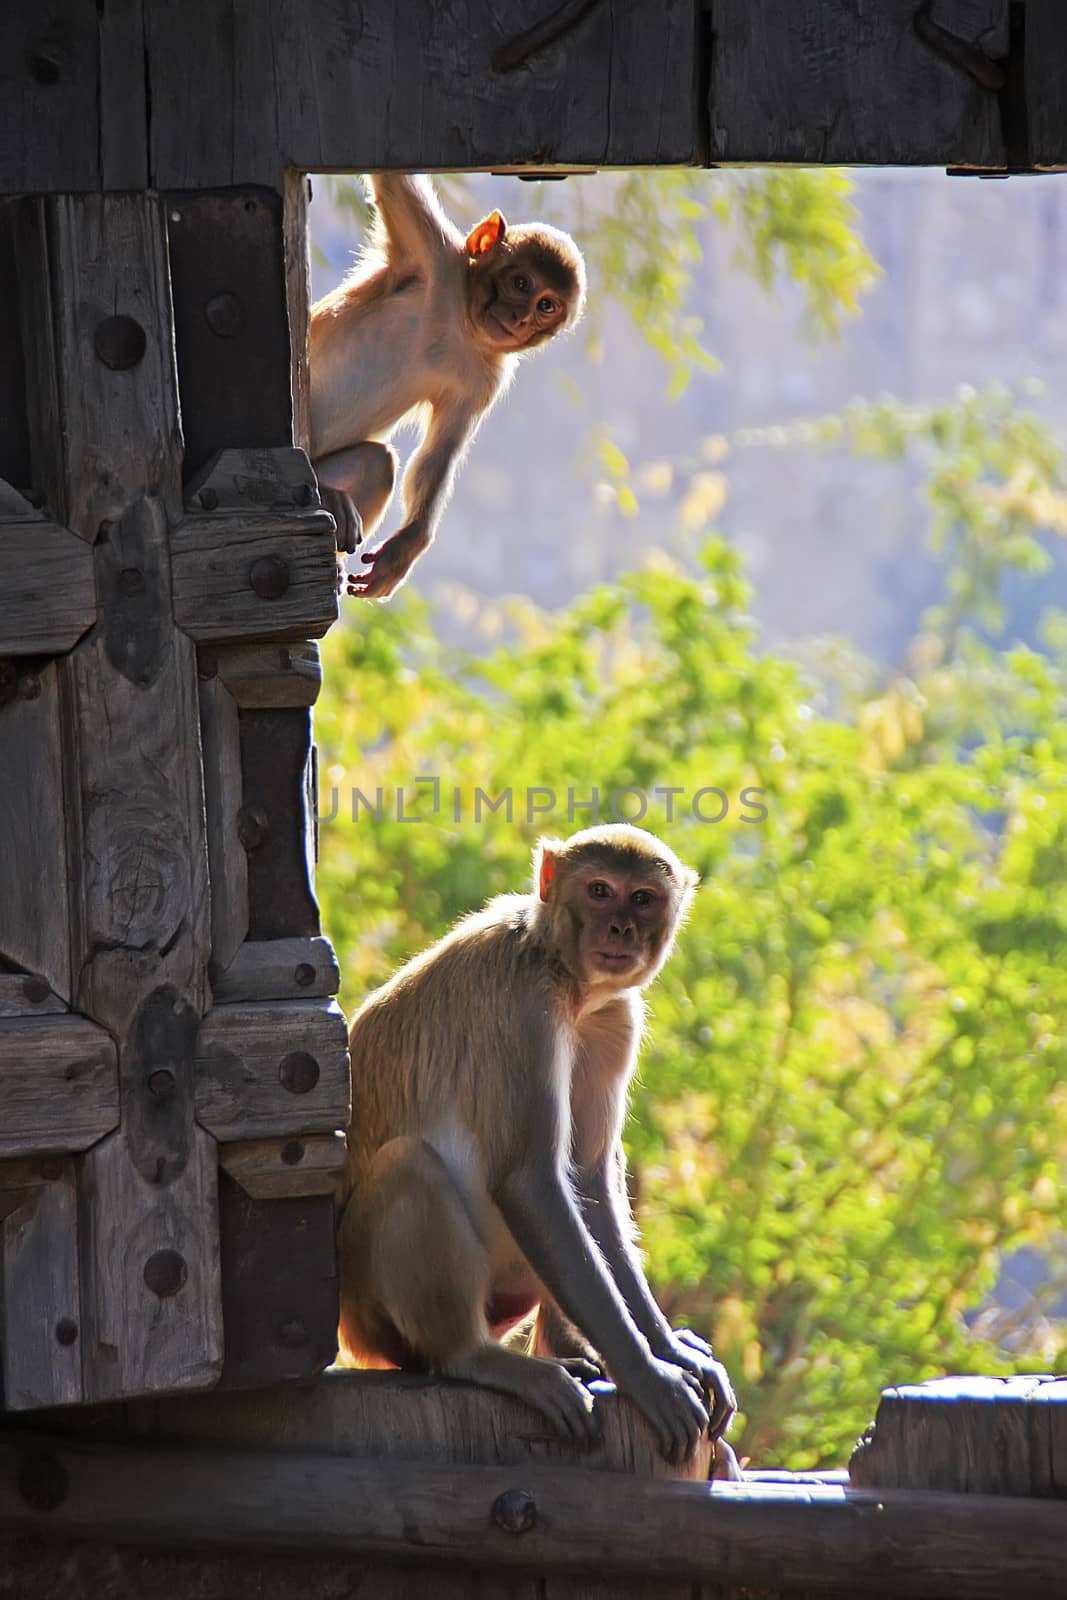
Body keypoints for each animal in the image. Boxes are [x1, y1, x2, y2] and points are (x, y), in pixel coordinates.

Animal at [308, 172, 588, 601]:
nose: (520, 318)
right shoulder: (434, 253)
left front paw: (408, 545)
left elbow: (438, 453)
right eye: (521, 283)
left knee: (378, 464)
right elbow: (392, 181)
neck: (462, 320)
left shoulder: (485, 379)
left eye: (546, 306)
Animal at [337, 825, 739, 1465]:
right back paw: (477, 1358)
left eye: (642, 898)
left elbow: (591, 1177)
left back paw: (569, 1349)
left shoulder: (614, 1018)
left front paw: (667, 1351)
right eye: (600, 891)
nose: (621, 929)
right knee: (411, 1167)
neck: (561, 971)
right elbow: (530, 1181)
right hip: (370, 1314)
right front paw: (649, 1376)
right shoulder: (524, 1007)